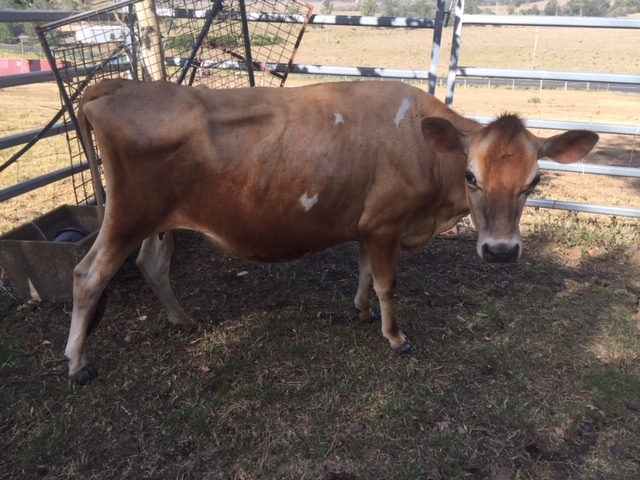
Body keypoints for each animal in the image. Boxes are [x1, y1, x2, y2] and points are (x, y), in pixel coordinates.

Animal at [65, 78, 598, 384]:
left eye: (534, 181)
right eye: (471, 177)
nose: (502, 251)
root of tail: (116, 84)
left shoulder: (367, 225)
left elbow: (363, 273)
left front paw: (360, 312)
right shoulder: (386, 224)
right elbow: (387, 284)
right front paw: (395, 337)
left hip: (158, 222)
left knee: (152, 264)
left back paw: (182, 321)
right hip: (127, 216)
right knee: (88, 276)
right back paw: (77, 364)